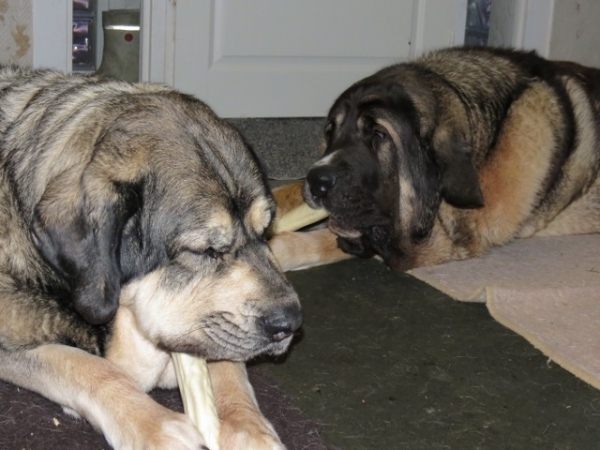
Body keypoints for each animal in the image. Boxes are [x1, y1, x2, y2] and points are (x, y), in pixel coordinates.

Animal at [0, 66, 302, 450]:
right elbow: (86, 366)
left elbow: (223, 359)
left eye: (264, 233)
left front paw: (247, 425)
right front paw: (154, 427)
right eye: (205, 250)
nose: (291, 323)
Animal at [270, 46, 600, 270]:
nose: (317, 182)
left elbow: (331, 239)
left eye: (379, 134)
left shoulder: (437, 244)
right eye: (331, 131)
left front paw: (278, 248)